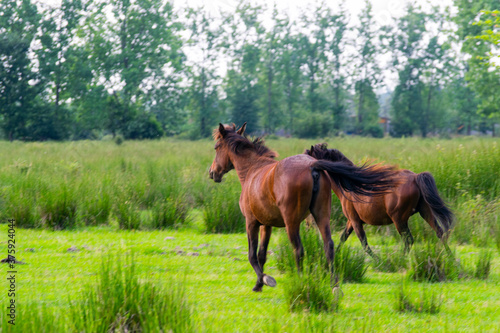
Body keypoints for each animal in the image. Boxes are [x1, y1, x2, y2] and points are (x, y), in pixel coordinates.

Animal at [209, 123, 396, 290]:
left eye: (216, 147)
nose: (212, 173)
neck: (252, 170)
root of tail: (312, 165)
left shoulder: (251, 222)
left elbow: (252, 255)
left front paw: (265, 280)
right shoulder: (266, 225)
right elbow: (262, 254)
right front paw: (259, 284)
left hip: (291, 223)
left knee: (298, 250)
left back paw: (300, 282)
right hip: (321, 217)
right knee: (329, 246)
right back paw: (334, 285)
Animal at [304, 143, 454, 256]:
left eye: (307, 155)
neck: (349, 185)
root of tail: (416, 177)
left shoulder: (355, 221)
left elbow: (364, 243)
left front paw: (378, 261)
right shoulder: (351, 221)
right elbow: (343, 238)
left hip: (399, 220)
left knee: (409, 240)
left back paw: (400, 259)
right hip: (425, 211)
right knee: (440, 232)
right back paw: (449, 257)